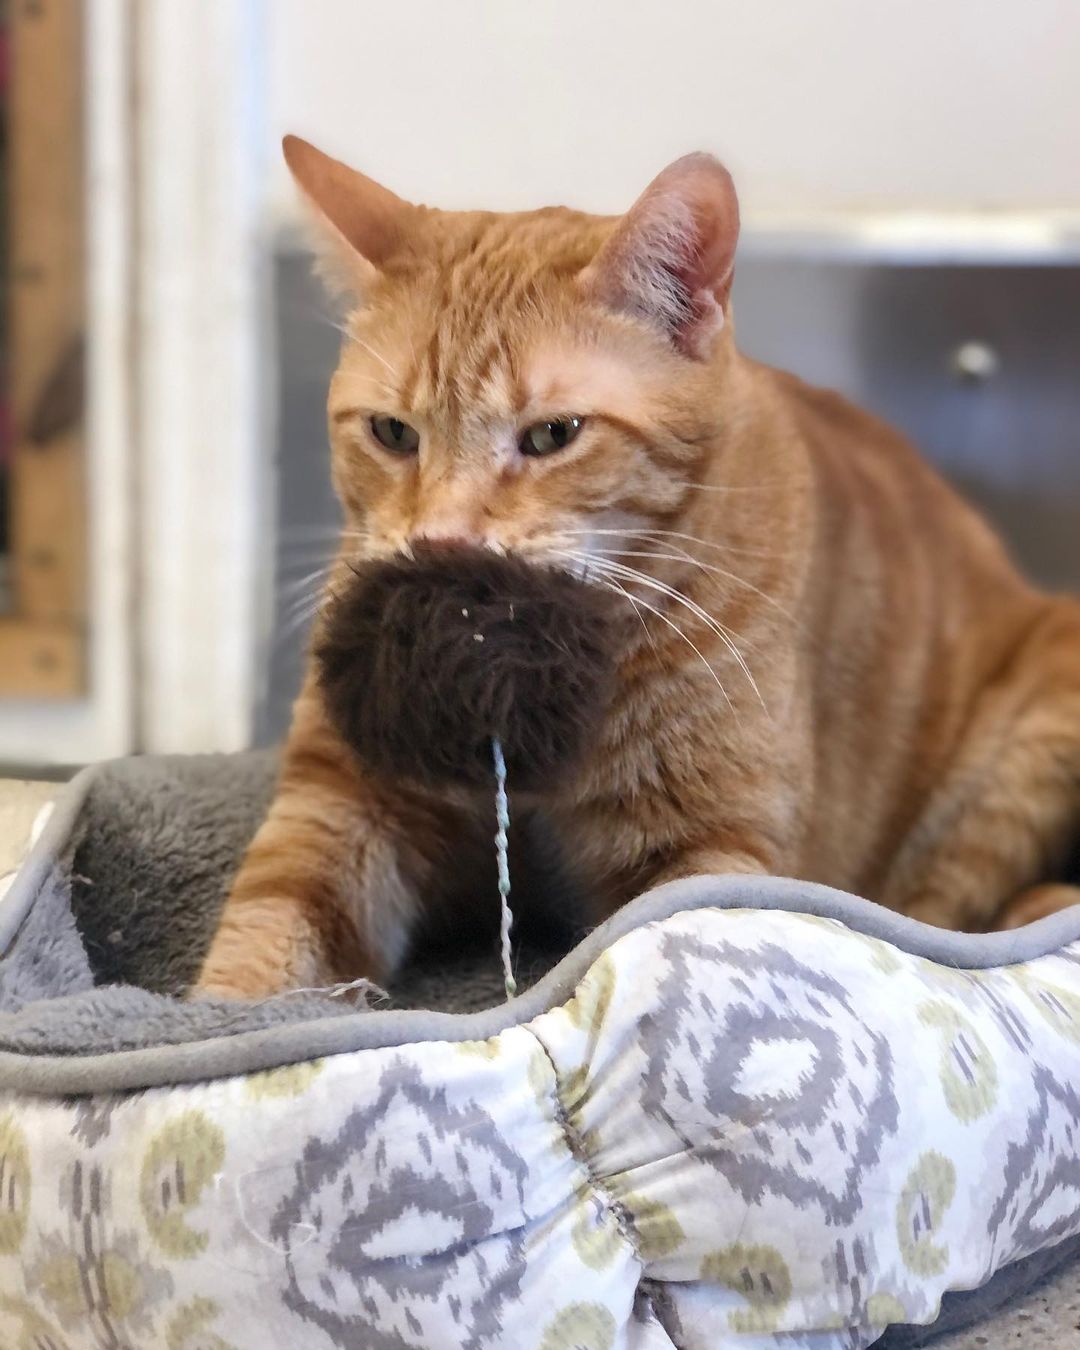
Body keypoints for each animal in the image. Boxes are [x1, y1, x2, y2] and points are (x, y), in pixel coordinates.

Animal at [194, 139, 1080, 1004]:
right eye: (392, 433)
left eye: (553, 435)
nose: (443, 542)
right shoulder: (339, 802)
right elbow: (260, 955)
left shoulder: (711, 853)